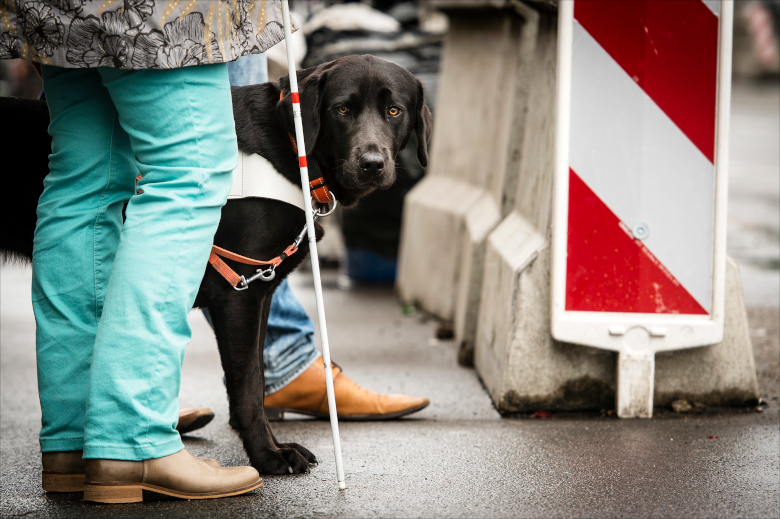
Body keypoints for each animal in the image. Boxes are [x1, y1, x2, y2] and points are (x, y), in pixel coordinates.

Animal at [0, 54, 432, 478]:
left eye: (394, 110)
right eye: (342, 109)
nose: (372, 163)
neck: (289, 146)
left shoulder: (260, 290)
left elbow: (256, 376)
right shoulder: (238, 293)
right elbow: (248, 387)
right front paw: (268, 456)